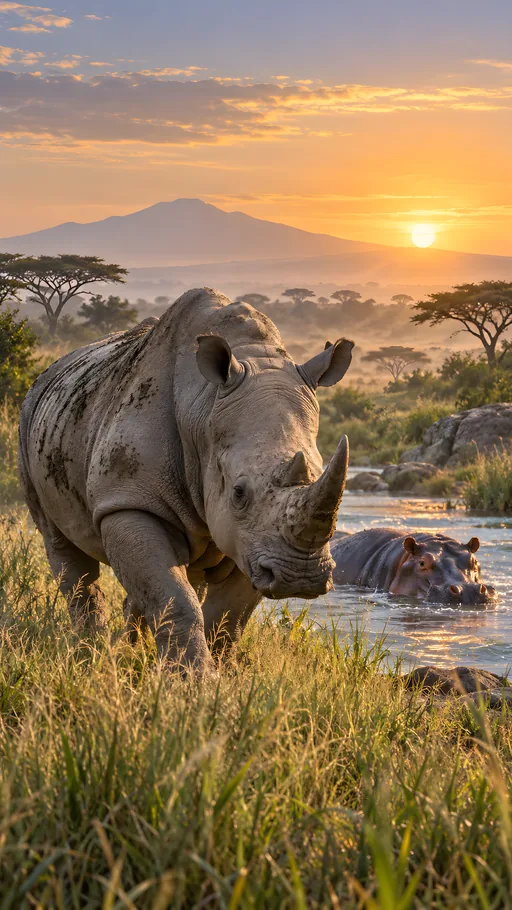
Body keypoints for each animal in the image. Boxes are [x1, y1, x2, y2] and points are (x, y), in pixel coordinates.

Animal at [18, 288, 353, 675]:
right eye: (239, 492)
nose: (300, 576)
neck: (203, 407)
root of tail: (49, 371)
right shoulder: (129, 500)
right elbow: (176, 600)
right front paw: (195, 682)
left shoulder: (254, 540)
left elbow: (227, 615)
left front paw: (219, 677)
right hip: (30, 418)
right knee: (62, 547)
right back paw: (91, 653)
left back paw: (127, 650)